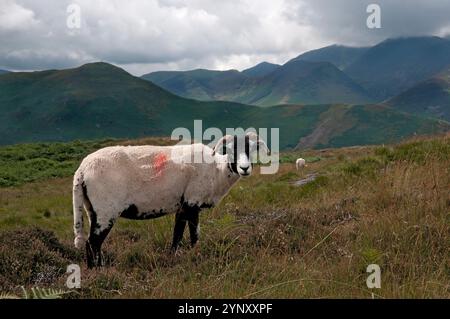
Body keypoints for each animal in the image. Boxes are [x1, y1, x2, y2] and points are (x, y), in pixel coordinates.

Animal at [72, 132, 268, 268]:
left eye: (251, 150)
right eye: (231, 150)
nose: (245, 168)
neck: (216, 170)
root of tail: (82, 170)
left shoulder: (183, 206)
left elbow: (178, 234)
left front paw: (174, 256)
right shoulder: (192, 201)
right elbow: (193, 235)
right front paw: (195, 255)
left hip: (92, 209)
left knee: (94, 244)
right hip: (106, 210)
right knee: (92, 243)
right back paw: (97, 272)